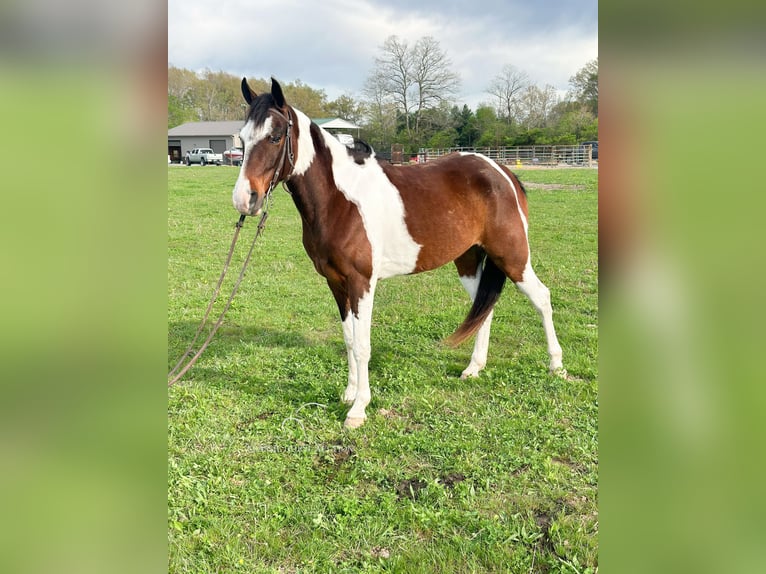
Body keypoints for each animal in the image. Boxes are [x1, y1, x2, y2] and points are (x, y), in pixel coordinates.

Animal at [232, 77, 564, 428]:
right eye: (242, 139)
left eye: (275, 136)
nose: (245, 199)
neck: (341, 200)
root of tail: (501, 171)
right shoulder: (335, 282)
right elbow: (349, 339)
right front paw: (348, 394)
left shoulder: (361, 282)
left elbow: (362, 345)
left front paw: (358, 409)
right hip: (469, 261)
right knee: (483, 308)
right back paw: (474, 368)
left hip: (512, 257)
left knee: (542, 298)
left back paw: (556, 365)